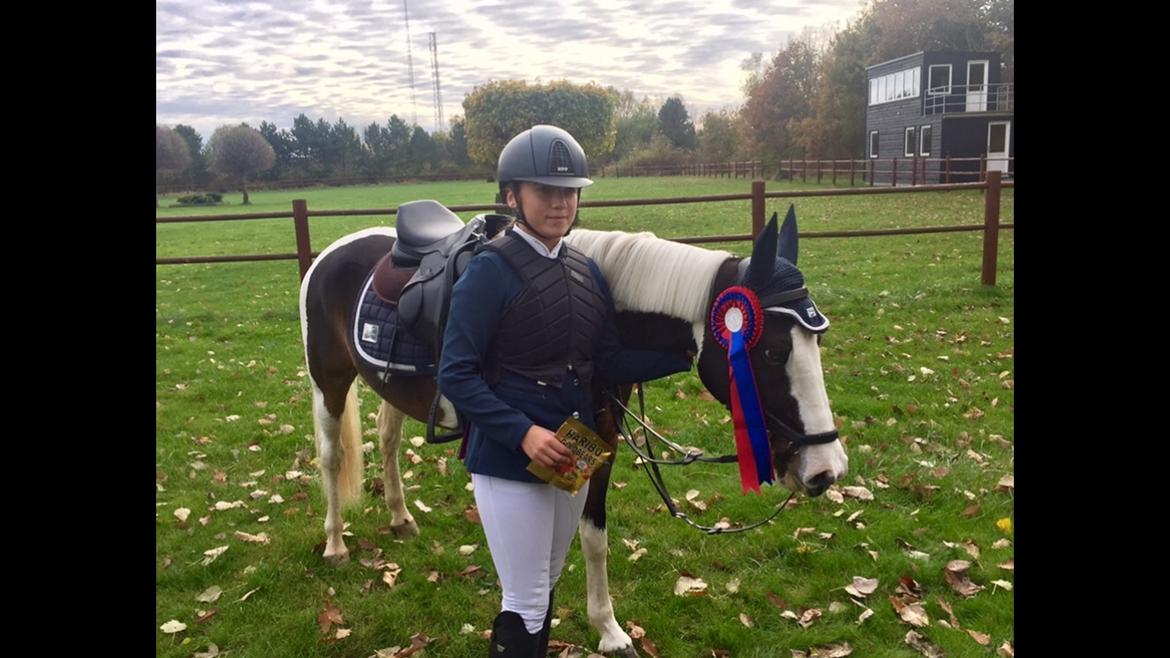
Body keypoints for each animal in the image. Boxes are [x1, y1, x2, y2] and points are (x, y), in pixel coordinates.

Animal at [298, 206, 849, 656]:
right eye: (773, 351)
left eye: (817, 344)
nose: (827, 469)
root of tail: (334, 251)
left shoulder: (600, 446)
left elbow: (593, 538)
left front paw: (608, 629)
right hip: (329, 381)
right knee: (330, 456)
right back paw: (335, 544)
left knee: (388, 440)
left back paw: (400, 518)